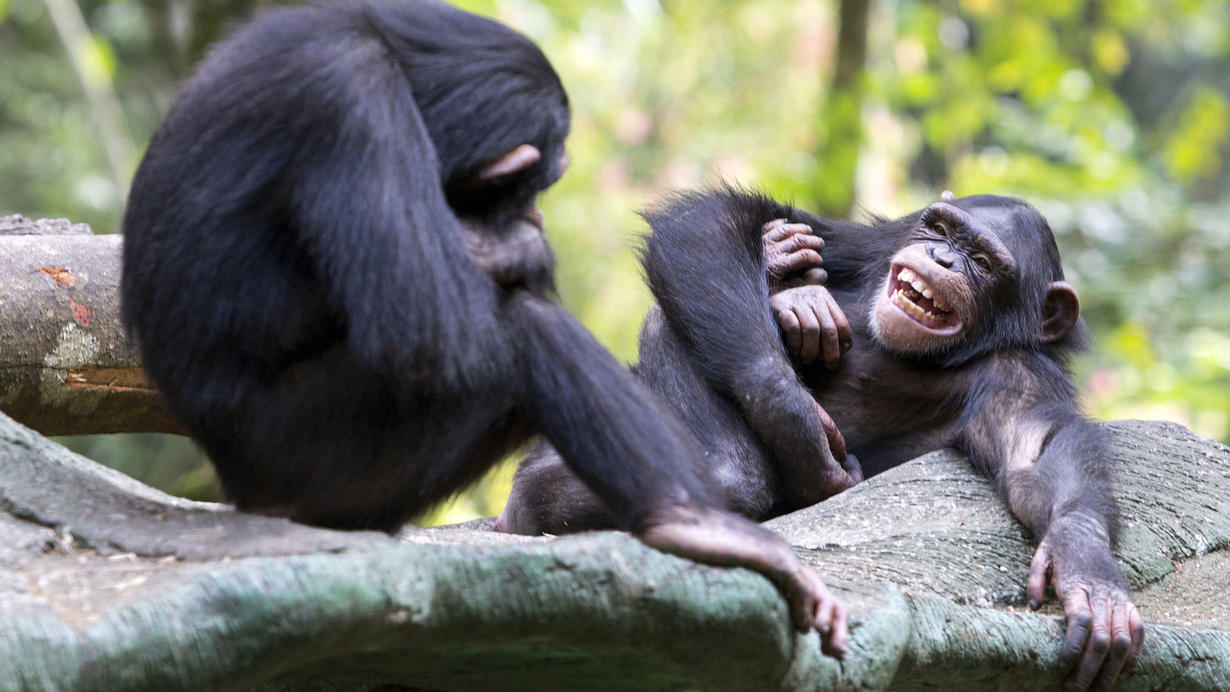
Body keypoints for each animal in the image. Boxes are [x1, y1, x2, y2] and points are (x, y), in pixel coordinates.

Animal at [119, 0, 851, 653]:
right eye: (531, 184)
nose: (532, 213)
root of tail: (242, 492)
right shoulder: (351, 102)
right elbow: (425, 325)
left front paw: (777, 262)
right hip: (318, 457)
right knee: (516, 332)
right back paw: (695, 524)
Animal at [496, 186, 1141, 688]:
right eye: (940, 229)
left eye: (981, 259)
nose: (940, 256)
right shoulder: (874, 243)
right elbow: (716, 220)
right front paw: (793, 394)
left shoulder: (1021, 378)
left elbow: (1039, 452)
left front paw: (1084, 561)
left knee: (727, 467)